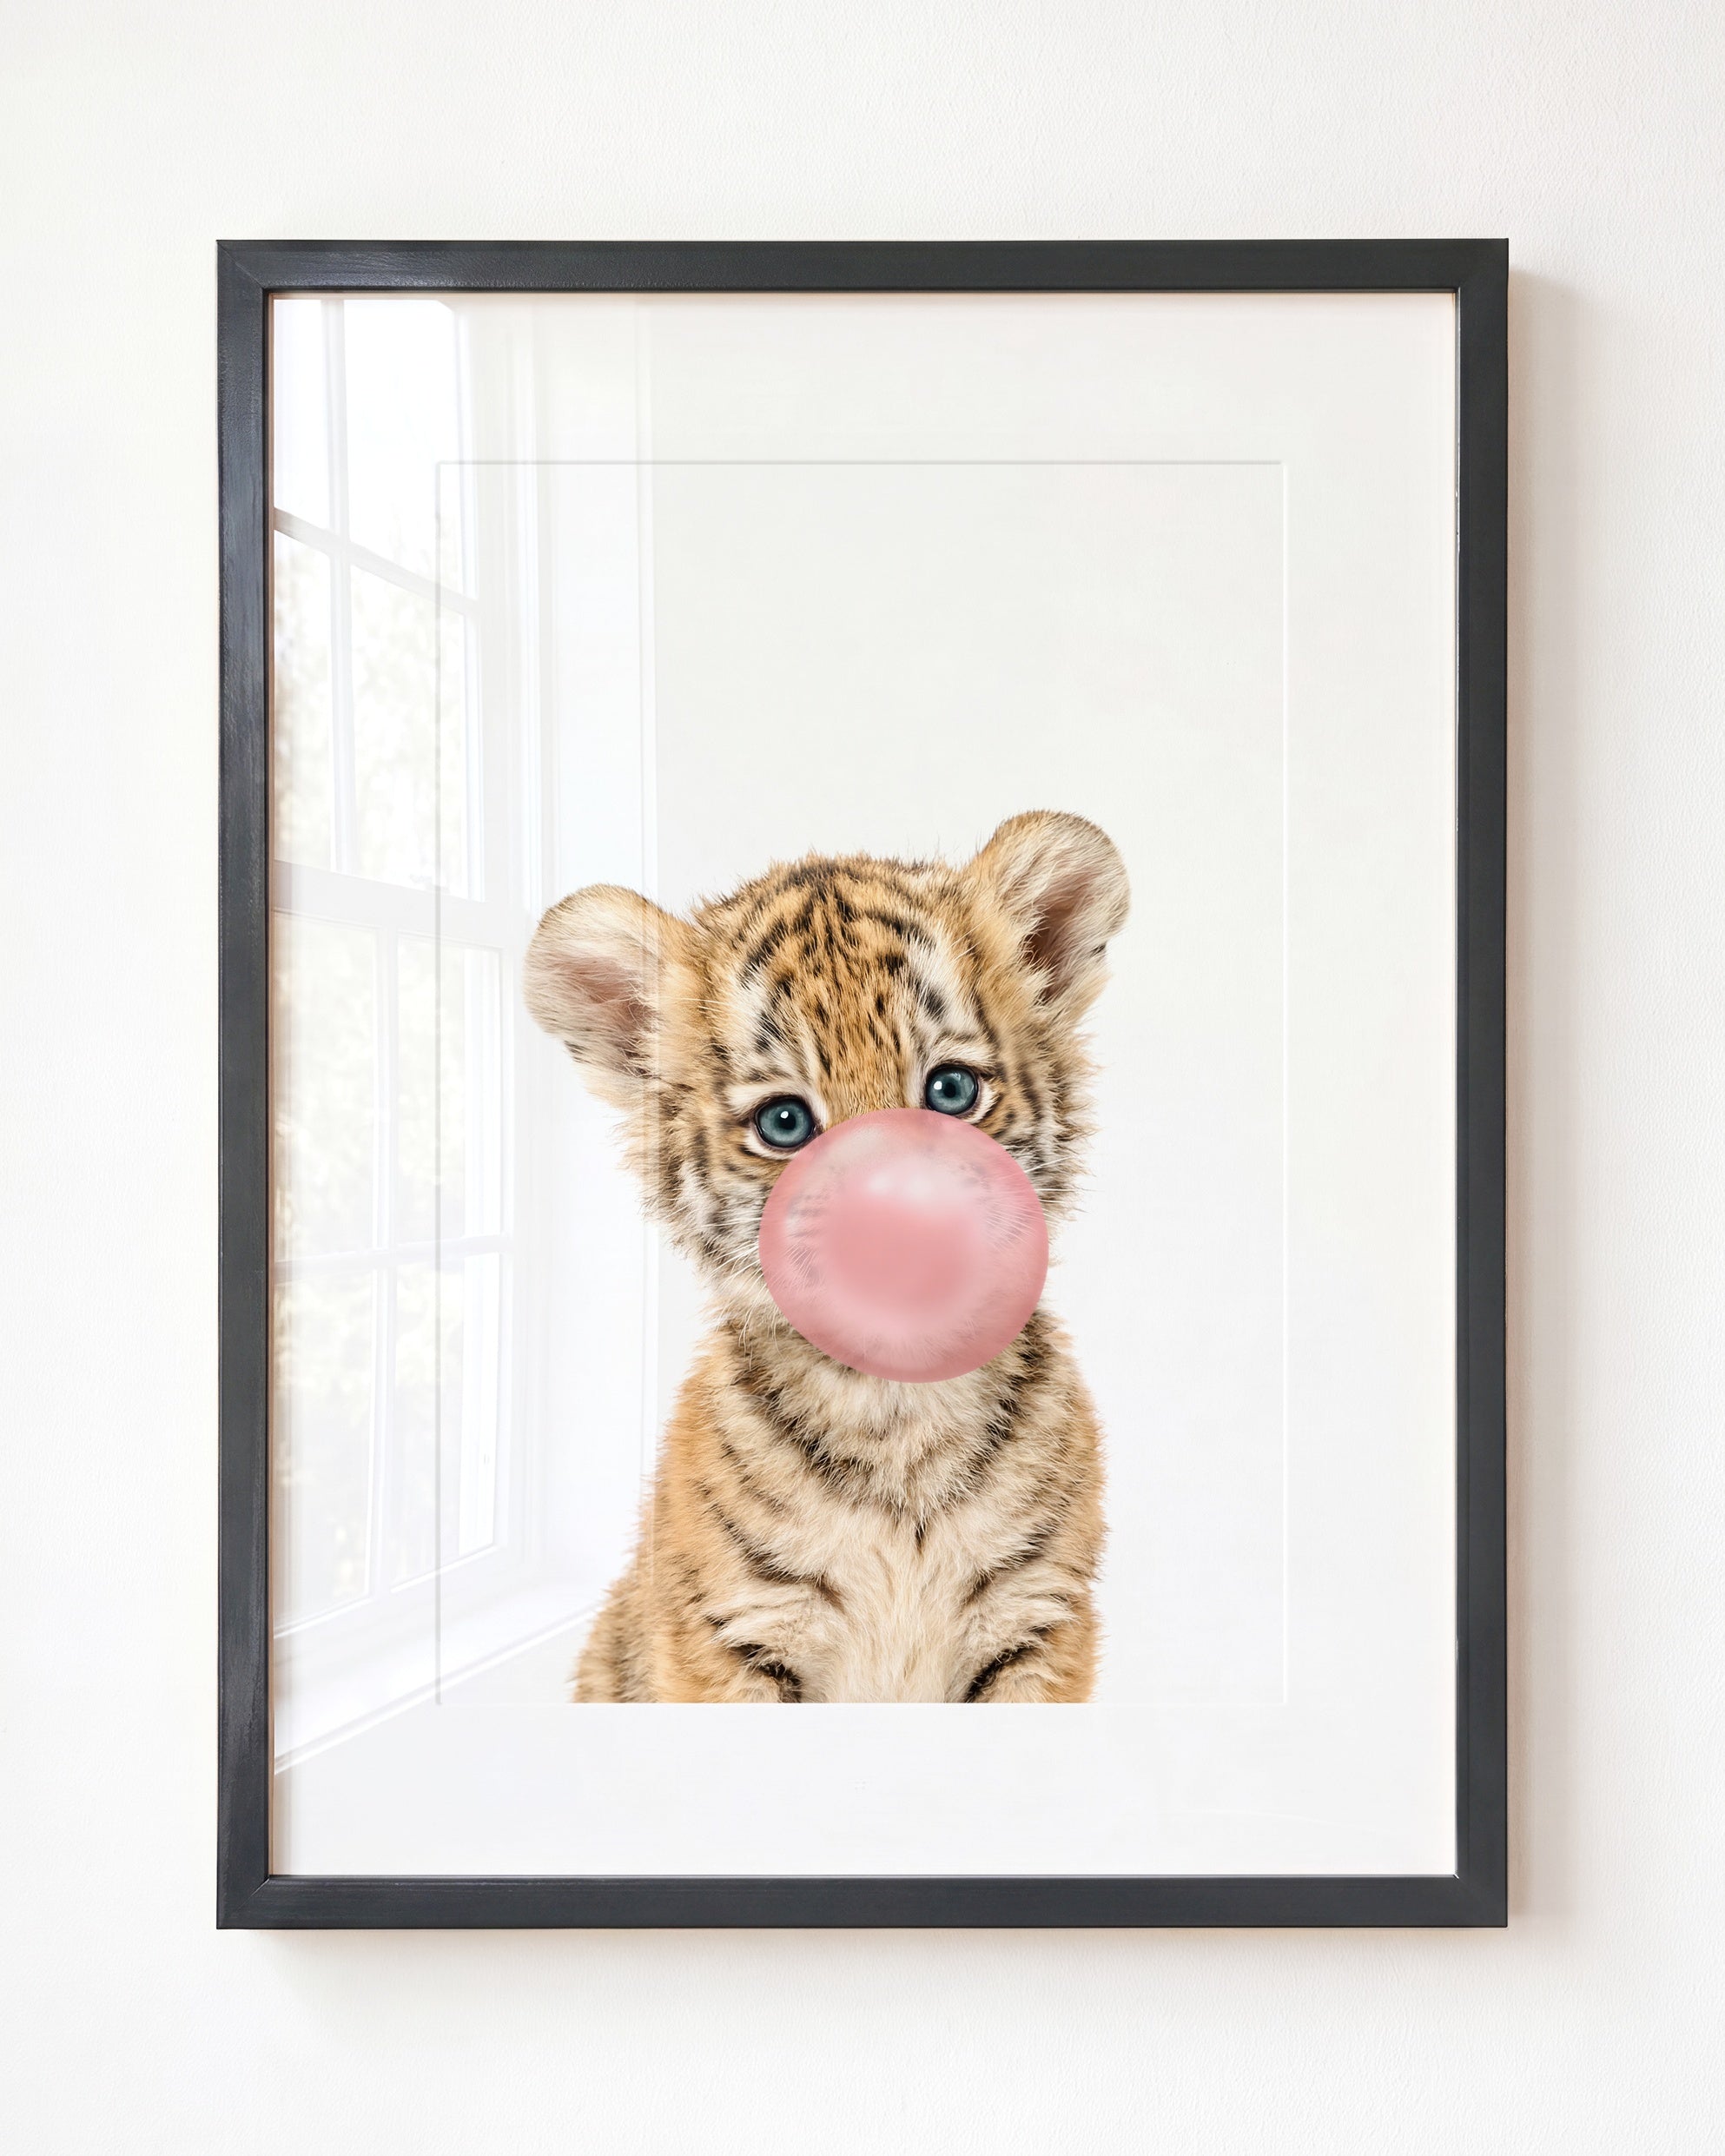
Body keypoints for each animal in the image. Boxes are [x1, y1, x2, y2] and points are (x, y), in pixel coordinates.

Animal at [523, 809, 1129, 1703]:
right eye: (785, 1123)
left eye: (951, 1090)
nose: (899, 1229)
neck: (900, 1416)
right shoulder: (731, 1636)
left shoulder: (1038, 1620)